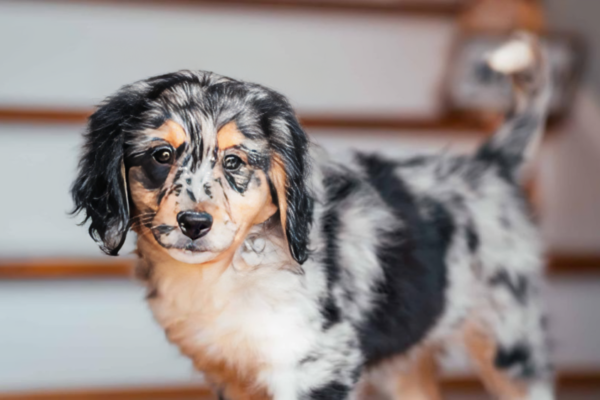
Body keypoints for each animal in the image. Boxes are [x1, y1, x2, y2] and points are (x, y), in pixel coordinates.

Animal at [74, 35, 552, 400]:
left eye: (233, 162)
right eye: (161, 155)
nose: (194, 224)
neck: (230, 271)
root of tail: (489, 164)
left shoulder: (317, 363)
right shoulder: (231, 375)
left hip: (510, 344)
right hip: (408, 361)